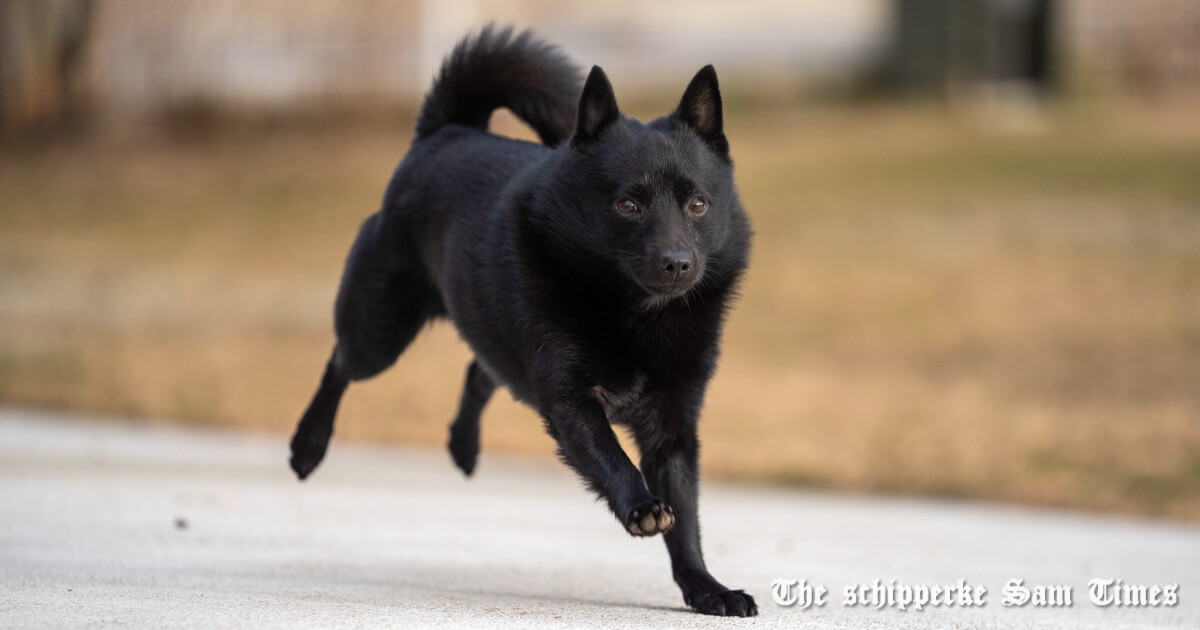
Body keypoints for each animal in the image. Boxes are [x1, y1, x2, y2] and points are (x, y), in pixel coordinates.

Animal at [290, 28, 753, 614]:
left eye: (698, 204)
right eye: (627, 205)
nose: (677, 263)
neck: (638, 316)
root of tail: (447, 130)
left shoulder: (672, 425)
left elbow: (687, 518)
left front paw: (707, 588)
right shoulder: (570, 400)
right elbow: (610, 456)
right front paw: (641, 506)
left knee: (481, 370)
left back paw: (463, 446)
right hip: (379, 330)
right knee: (340, 364)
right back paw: (308, 446)